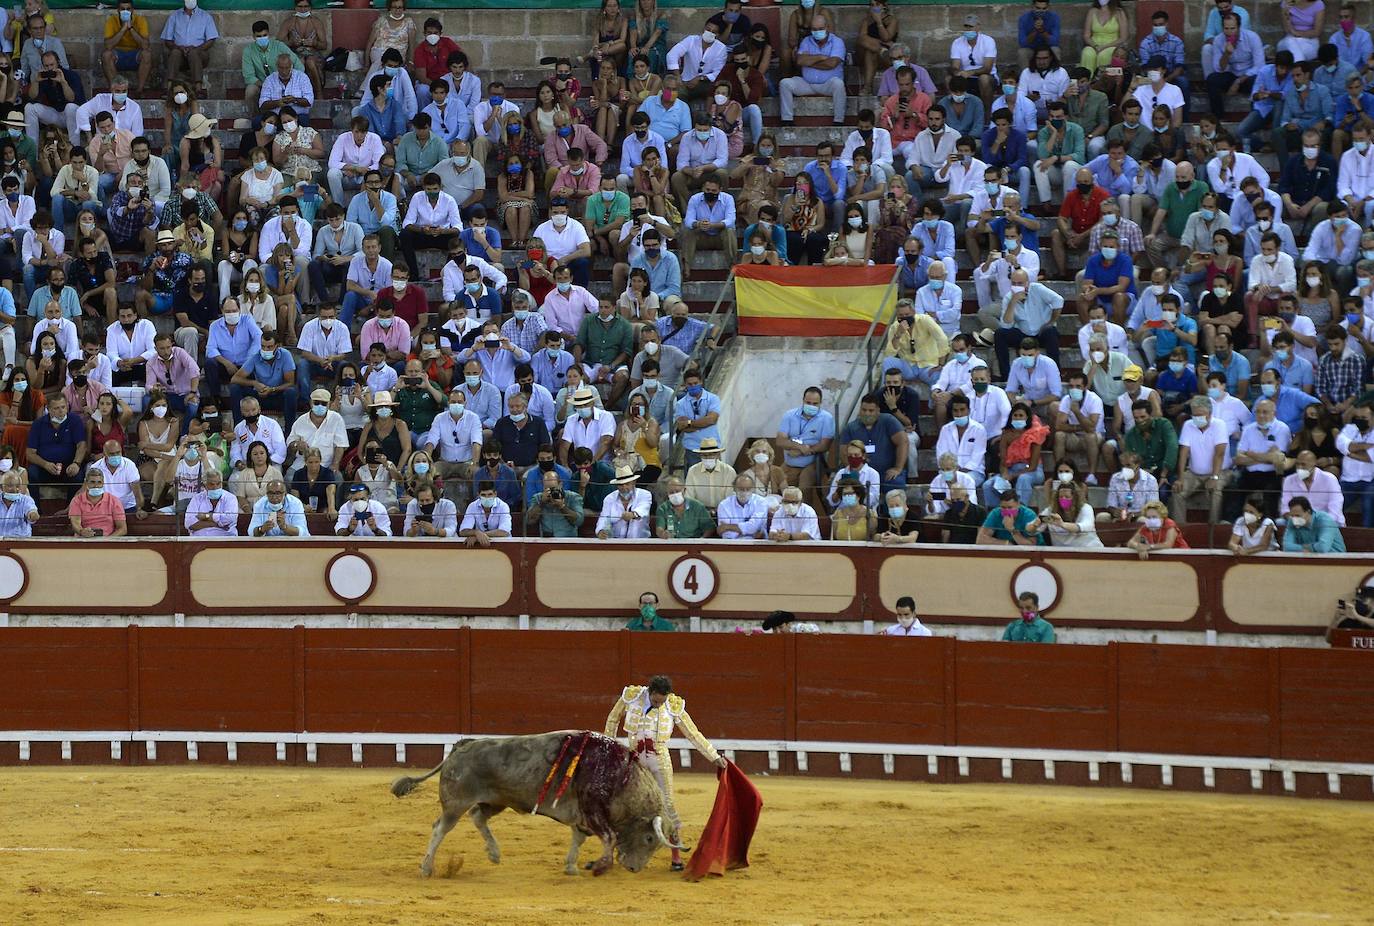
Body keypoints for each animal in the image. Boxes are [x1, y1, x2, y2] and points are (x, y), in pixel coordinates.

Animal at [392, 730, 681, 873]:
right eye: (649, 838)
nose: (634, 868)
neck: (621, 776)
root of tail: (461, 745)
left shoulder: (582, 816)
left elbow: (579, 837)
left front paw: (571, 866)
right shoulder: (593, 810)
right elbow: (608, 837)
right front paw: (599, 866)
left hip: (496, 800)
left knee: (478, 816)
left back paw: (494, 854)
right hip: (456, 803)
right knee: (440, 828)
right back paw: (427, 867)